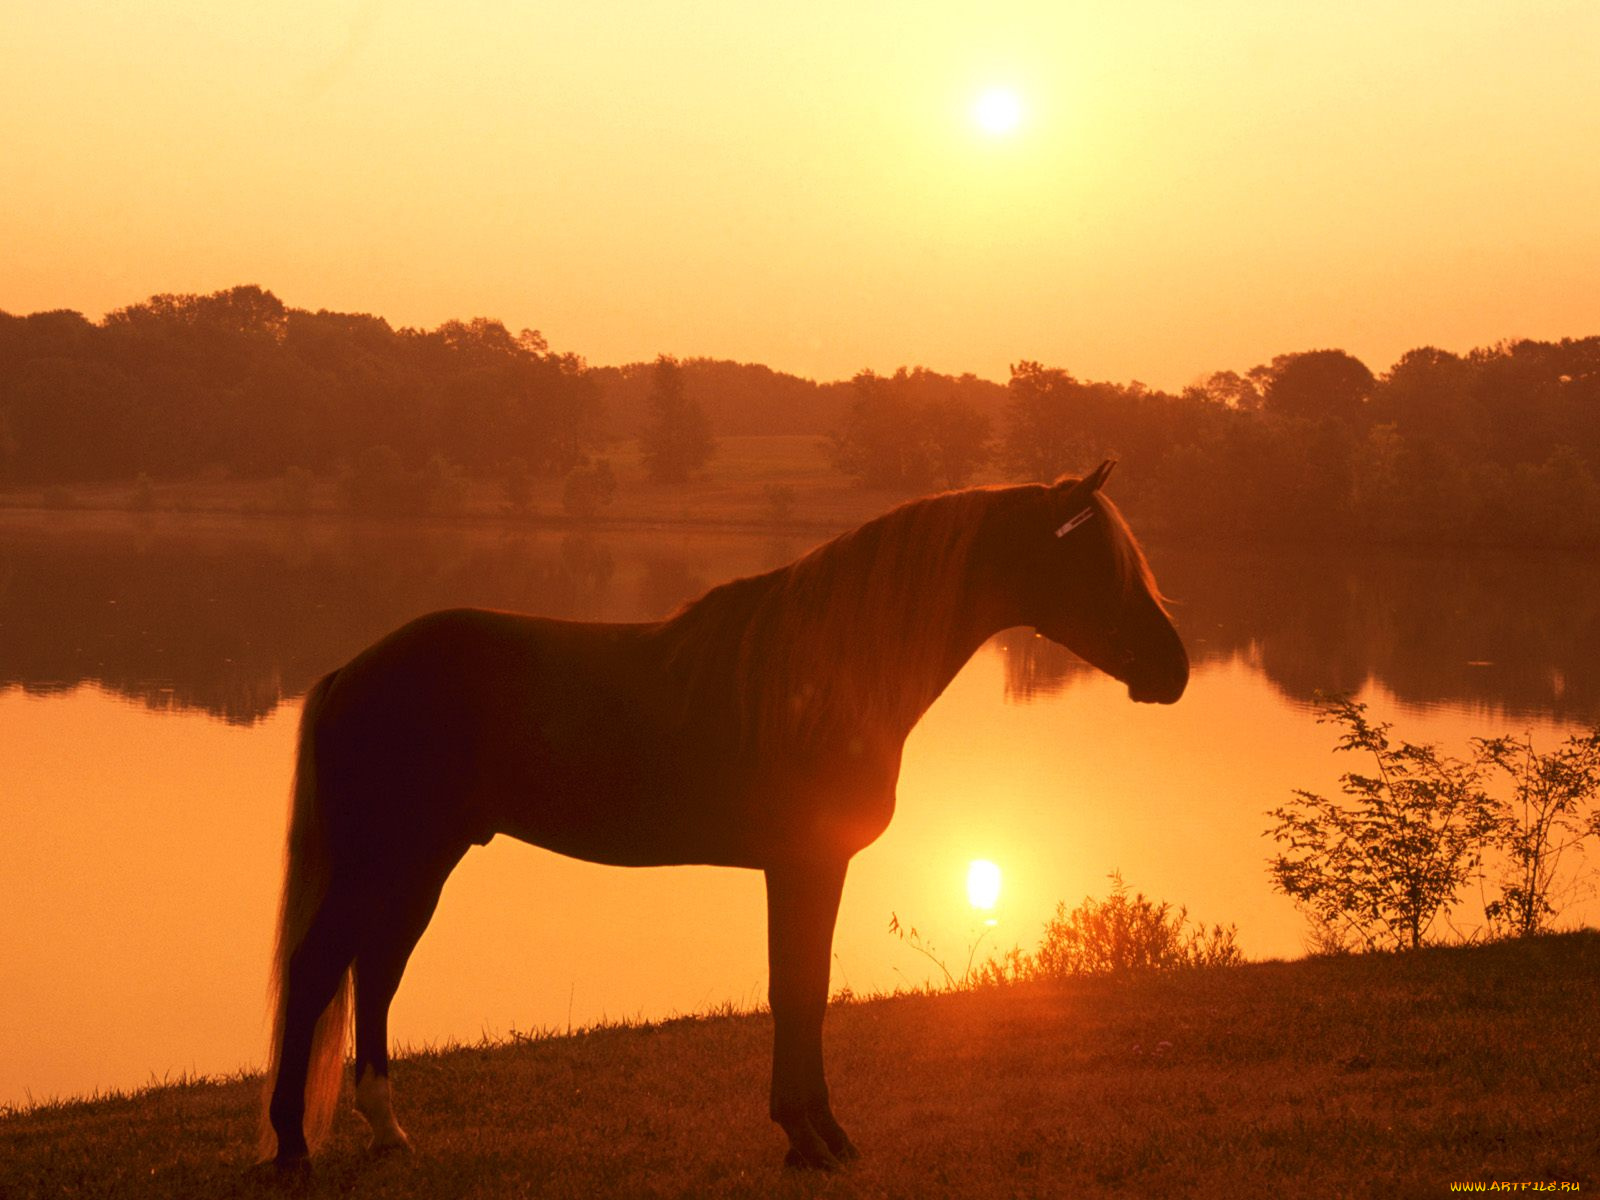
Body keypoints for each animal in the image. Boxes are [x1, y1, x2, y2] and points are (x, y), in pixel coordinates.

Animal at [259, 464, 1190, 1177]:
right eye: (1097, 563)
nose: (1174, 668)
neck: (828, 670)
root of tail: (353, 670)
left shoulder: (808, 866)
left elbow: (803, 991)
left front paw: (815, 1136)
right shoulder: (807, 863)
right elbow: (798, 990)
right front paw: (813, 1139)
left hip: (421, 862)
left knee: (375, 973)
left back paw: (387, 1132)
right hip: (384, 861)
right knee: (317, 971)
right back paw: (293, 1149)